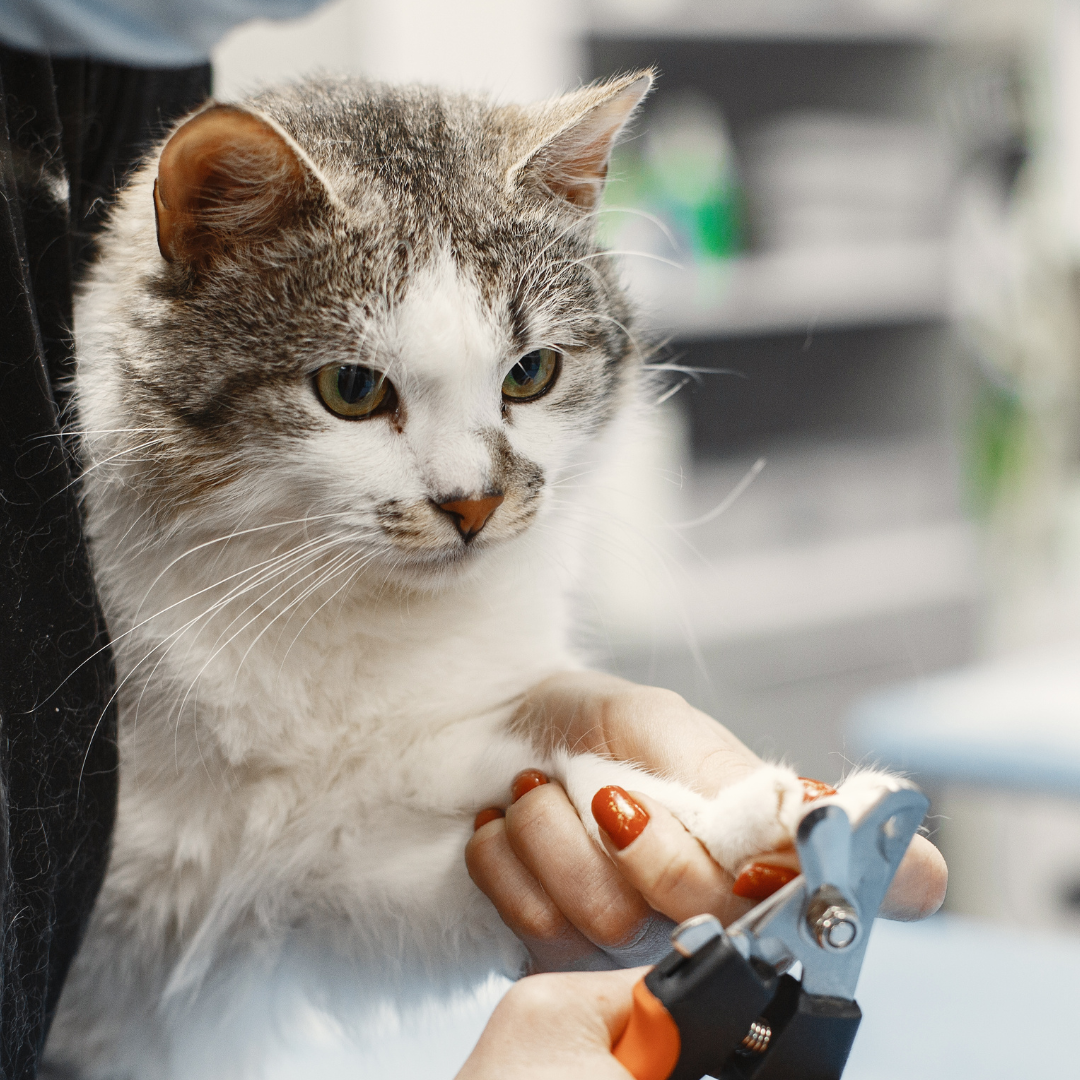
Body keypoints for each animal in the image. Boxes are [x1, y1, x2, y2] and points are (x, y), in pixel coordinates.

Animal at [48, 71, 911, 1075]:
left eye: (531, 372)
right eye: (351, 389)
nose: (474, 503)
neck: (337, 621)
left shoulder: (327, 877)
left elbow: (543, 792)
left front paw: (736, 828)